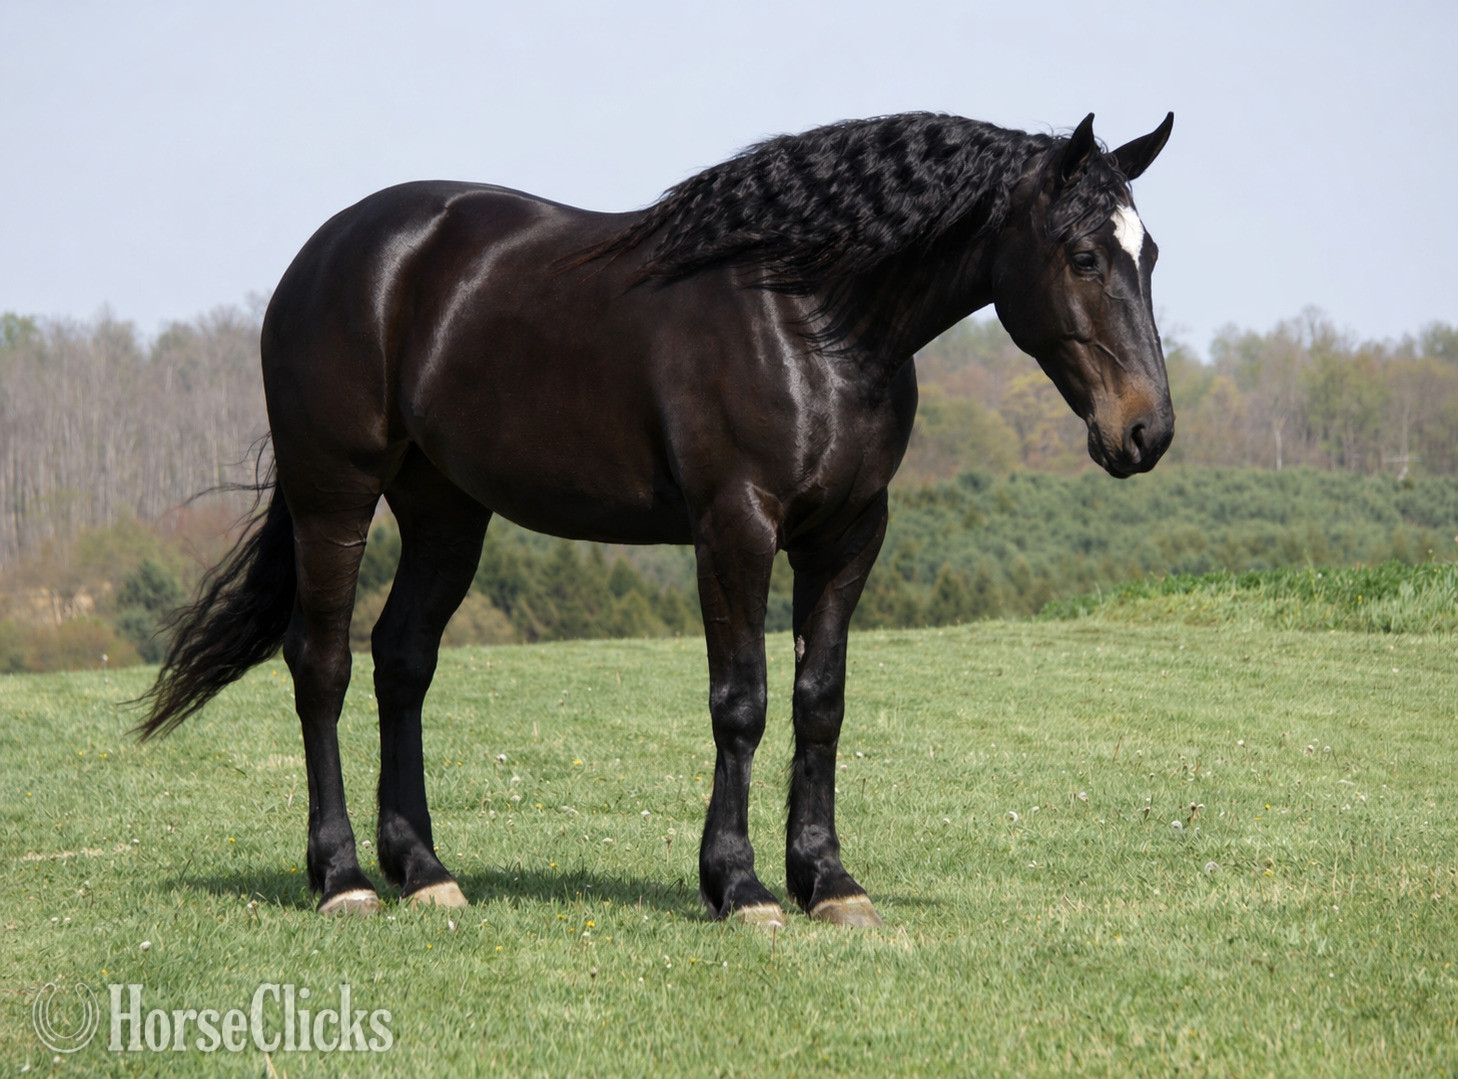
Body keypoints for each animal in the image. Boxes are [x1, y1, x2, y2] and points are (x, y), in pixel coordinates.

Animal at [139, 110, 1175, 927]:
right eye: (1084, 255)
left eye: (1150, 254)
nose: (1146, 429)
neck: (809, 319)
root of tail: (332, 252)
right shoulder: (736, 529)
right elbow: (742, 703)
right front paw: (741, 885)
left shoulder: (847, 538)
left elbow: (821, 701)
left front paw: (829, 881)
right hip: (335, 495)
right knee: (322, 667)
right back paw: (343, 875)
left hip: (446, 510)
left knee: (403, 661)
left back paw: (425, 871)